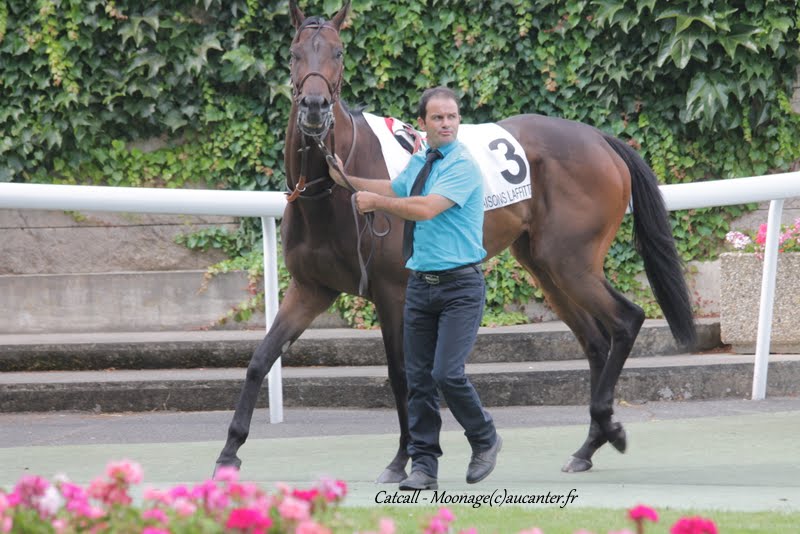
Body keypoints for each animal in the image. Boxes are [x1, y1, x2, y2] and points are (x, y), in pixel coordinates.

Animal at [212, 1, 692, 482]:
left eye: (339, 52)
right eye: (295, 54)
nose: (314, 107)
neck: (330, 189)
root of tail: (602, 140)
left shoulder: (392, 292)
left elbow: (402, 375)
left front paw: (401, 460)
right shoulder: (312, 289)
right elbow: (259, 360)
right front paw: (229, 451)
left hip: (571, 261)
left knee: (625, 320)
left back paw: (608, 425)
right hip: (544, 265)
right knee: (595, 340)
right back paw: (589, 444)